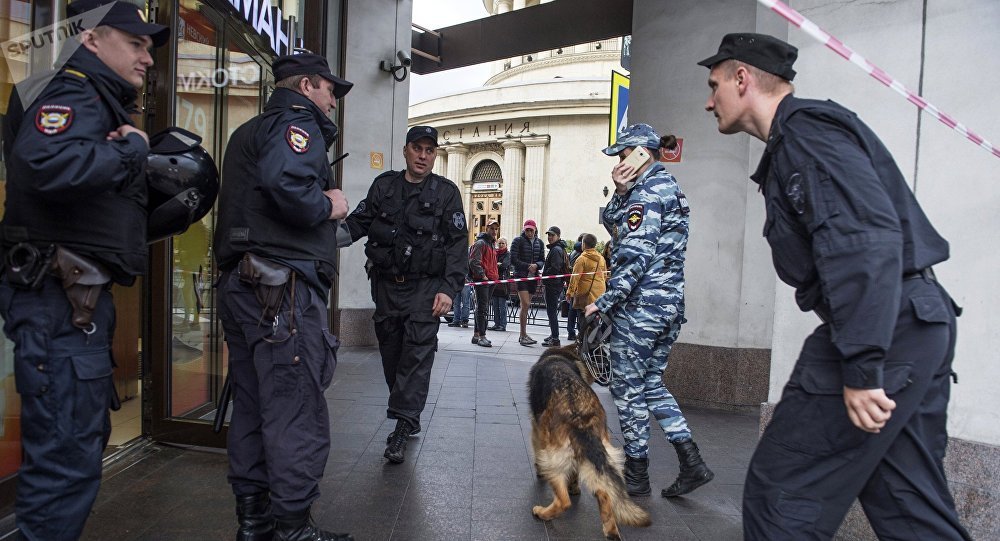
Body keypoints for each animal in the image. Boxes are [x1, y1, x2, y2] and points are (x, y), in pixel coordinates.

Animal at [528, 344, 652, 536]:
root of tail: (580, 416)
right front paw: (574, 486)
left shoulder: (537, 429)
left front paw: (540, 472)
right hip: (603, 454)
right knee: (604, 492)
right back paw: (611, 530)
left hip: (552, 456)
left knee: (563, 501)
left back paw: (543, 513)